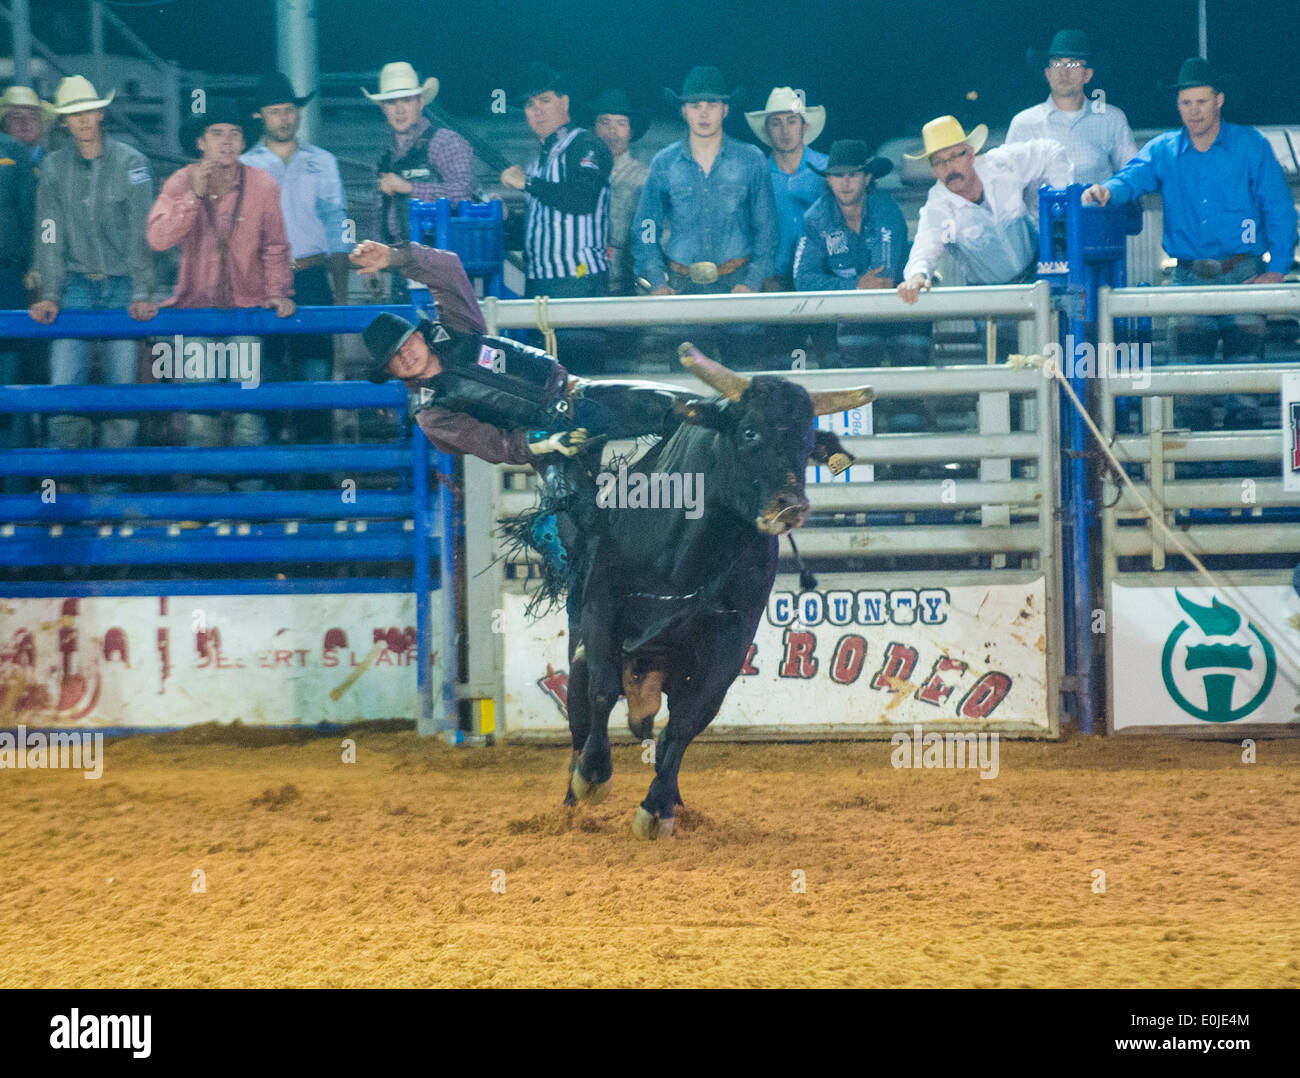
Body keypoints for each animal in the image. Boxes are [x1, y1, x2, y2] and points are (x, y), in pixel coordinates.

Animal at [564, 344, 873, 839]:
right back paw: (572, 802)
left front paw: (658, 808)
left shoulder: (733, 639)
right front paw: (593, 776)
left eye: (808, 445)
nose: (792, 507)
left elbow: (687, 723)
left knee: (668, 730)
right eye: (749, 431)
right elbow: (602, 690)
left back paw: (674, 797)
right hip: (579, 656)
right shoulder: (600, 603)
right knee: (582, 711)